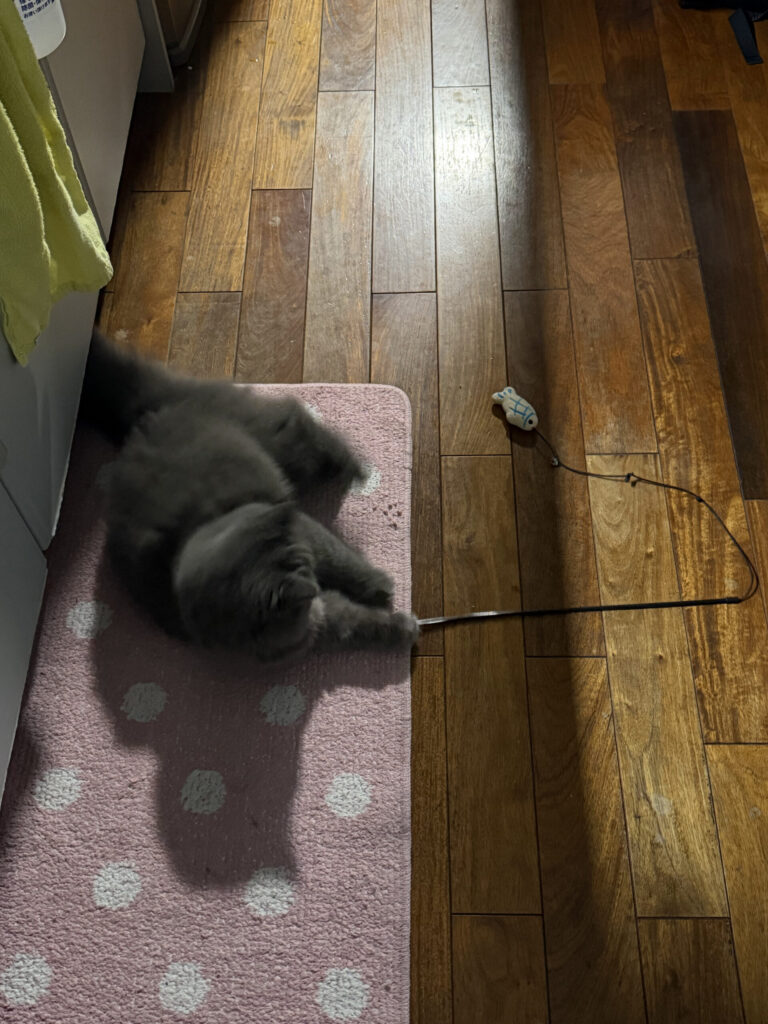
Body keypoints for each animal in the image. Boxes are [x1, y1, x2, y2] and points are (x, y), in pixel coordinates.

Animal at [79, 331, 419, 661]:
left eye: (301, 562)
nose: (313, 584)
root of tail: (143, 417)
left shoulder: (309, 534)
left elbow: (345, 563)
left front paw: (381, 588)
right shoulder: (321, 617)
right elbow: (358, 621)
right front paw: (401, 623)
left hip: (272, 439)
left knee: (302, 423)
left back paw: (356, 468)